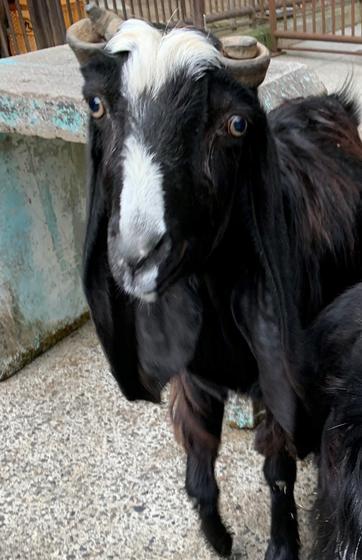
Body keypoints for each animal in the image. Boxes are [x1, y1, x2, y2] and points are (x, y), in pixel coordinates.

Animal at [67, 9, 362, 560]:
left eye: (235, 124)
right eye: (96, 104)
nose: (137, 256)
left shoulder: (277, 374)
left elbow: (277, 470)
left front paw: (281, 545)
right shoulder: (194, 374)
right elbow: (199, 464)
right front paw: (219, 539)